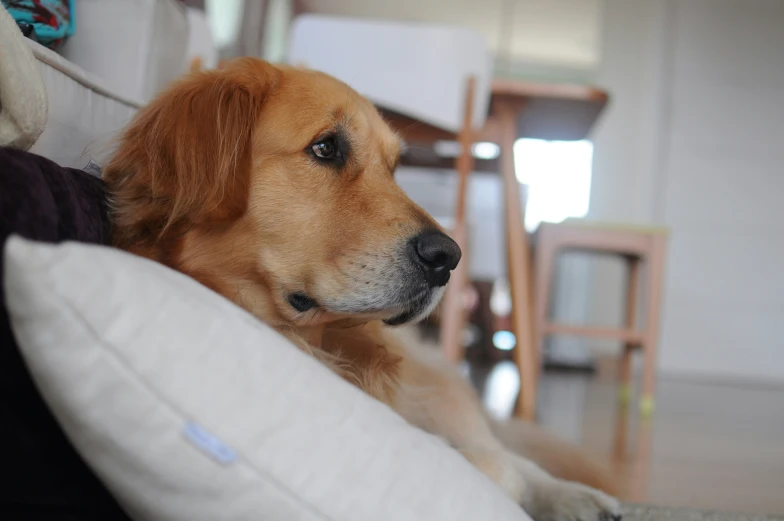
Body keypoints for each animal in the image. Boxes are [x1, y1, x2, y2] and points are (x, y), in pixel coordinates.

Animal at [104, 58, 620, 520]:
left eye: (393, 168)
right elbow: (485, 469)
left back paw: (578, 498)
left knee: (508, 452)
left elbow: (495, 464)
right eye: (326, 147)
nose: (448, 257)